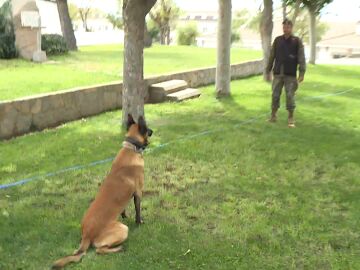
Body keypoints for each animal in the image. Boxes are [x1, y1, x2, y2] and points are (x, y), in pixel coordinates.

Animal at [51, 114, 153, 268]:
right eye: (147, 129)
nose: (152, 131)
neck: (131, 149)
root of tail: (86, 235)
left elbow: (124, 209)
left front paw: (124, 215)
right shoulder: (138, 192)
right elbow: (138, 210)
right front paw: (139, 222)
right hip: (123, 229)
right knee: (99, 250)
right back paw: (119, 248)